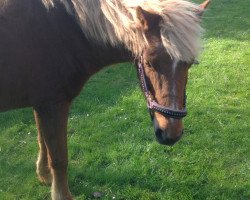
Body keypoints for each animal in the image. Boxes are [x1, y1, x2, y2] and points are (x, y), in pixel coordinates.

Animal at [0, 0, 211, 198]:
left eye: (191, 63)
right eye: (150, 62)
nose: (171, 134)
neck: (62, 31)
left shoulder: (41, 105)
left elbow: (42, 142)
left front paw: (44, 175)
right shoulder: (52, 105)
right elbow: (59, 158)